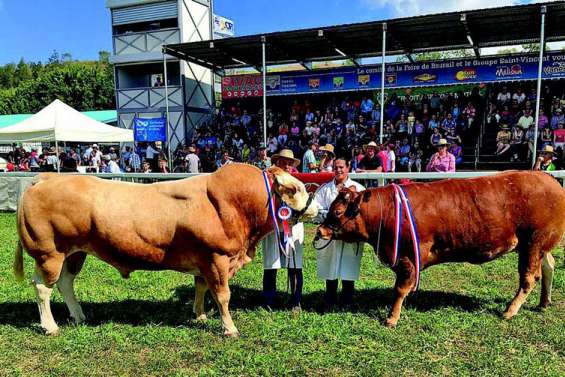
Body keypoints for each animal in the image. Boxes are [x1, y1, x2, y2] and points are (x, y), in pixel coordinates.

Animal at [13, 164, 318, 334]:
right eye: (296, 189)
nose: (316, 207)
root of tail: (45, 178)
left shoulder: (204, 260)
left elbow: (201, 288)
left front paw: (200, 316)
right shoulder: (217, 257)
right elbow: (223, 296)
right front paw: (229, 328)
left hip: (76, 252)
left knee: (65, 283)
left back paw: (78, 316)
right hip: (50, 252)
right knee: (43, 288)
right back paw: (50, 326)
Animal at [318, 171, 564, 326]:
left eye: (337, 212)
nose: (320, 231)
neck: (387, 210)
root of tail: (549, 179)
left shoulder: (408, 257)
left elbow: (400, 289)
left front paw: (392, 317)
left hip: (533, 244)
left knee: (530, 278)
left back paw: (510, 310)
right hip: (540, 246)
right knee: (549, 267)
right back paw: (543, 302)